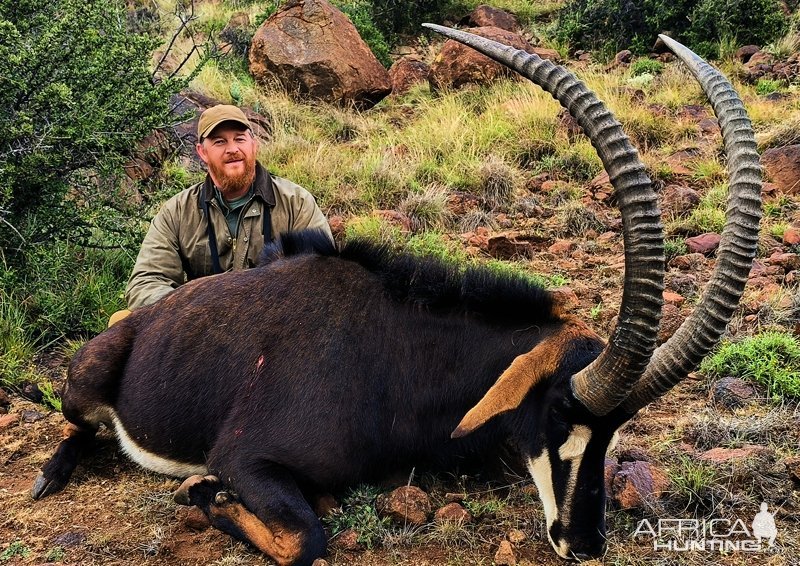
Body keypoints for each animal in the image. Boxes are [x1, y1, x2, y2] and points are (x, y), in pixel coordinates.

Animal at [34, 24, 764, 564]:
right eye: (559, 413)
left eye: (615, 432)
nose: (582, 545)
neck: (398, 355)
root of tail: (139, 323)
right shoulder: (243, 457)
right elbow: (306, 539)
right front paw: (201, 493)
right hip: (86, 386)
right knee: (78, 425)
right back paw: (52, 472)